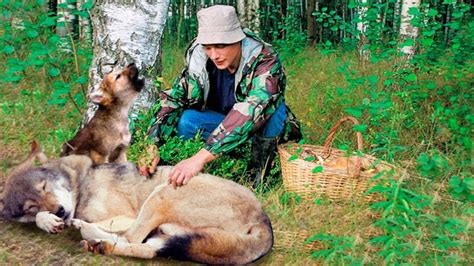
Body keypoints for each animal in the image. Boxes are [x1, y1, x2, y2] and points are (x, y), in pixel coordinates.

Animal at [0, 142, 274, 262]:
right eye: (31, 205)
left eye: (44, 187)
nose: (59, 210)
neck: (82, 183)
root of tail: (263, 220)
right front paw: (47, 220)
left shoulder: (126, 216)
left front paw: (67, 222)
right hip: (164, 232)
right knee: (146, 249)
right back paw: (100, 246)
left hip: (162, 195)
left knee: (130, 238)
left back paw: (89, 234)